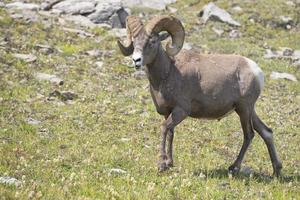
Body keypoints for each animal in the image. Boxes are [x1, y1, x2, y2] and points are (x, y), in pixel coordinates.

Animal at [118, 15, 284, 176]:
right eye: (134, 41)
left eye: (152, 42)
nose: (136, 60)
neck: (168, 72)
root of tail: (256, 71)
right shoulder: (168, 113)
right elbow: (171, 133)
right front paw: (169, 163)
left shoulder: (180, 111)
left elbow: (164, 129)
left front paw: (162, 165)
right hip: (248, 111)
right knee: (266, 132)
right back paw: (276, 171)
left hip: (244, 110)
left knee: (249, 134)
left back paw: (234, 168)